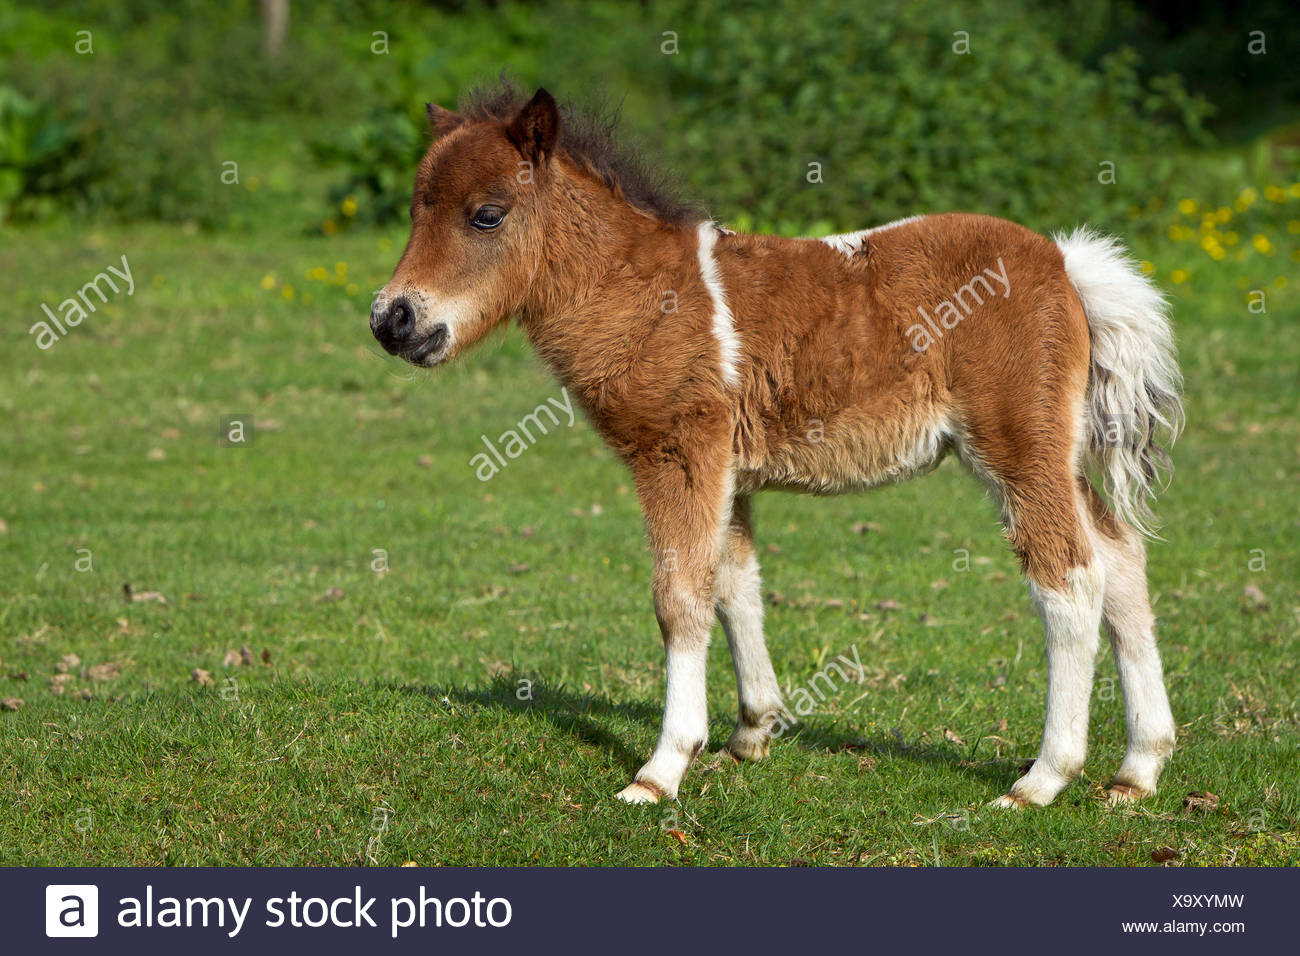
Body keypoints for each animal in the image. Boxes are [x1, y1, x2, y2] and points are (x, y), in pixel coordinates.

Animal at [371, 85, 1185, 811]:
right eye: (415, 210)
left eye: (487, 215)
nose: (392, 320)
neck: (642, 294)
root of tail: (1066, 266)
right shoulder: (724, 469)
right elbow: (736, 584)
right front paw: (751, 733)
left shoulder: (679, 454)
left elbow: (680, 597)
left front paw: (660, 770)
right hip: (1052, 452)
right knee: (1120, 556)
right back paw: (1138, 768)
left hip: (1018, 449)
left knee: (1070, 578)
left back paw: (1042, 779)